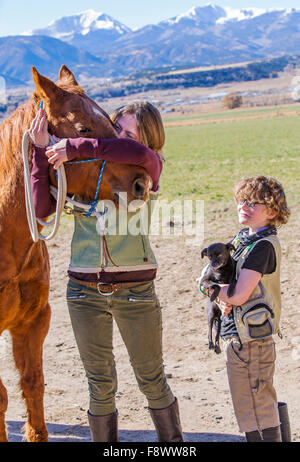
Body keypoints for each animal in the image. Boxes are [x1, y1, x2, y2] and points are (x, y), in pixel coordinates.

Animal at [0, 64, 151, 440]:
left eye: (113, 125)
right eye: (82, 130)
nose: (141, 182)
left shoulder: (34, 320)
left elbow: (32, 384)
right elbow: (2, 396)